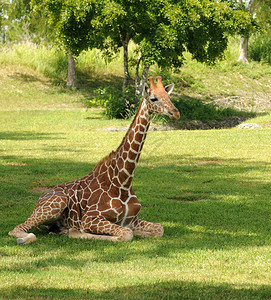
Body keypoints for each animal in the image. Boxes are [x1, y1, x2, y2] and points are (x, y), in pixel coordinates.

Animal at [9, 75, 181, 244]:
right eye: (153, 98)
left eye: (169, 96)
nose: (176, 113)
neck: (123, 181)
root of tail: (39, 199)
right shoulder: (90, 219)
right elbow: (126, 234)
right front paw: (76, 231)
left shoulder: (131, 220)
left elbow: (159, 229)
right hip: (56, 203)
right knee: (17, 229)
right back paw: (31, 237)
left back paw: (60, 230)